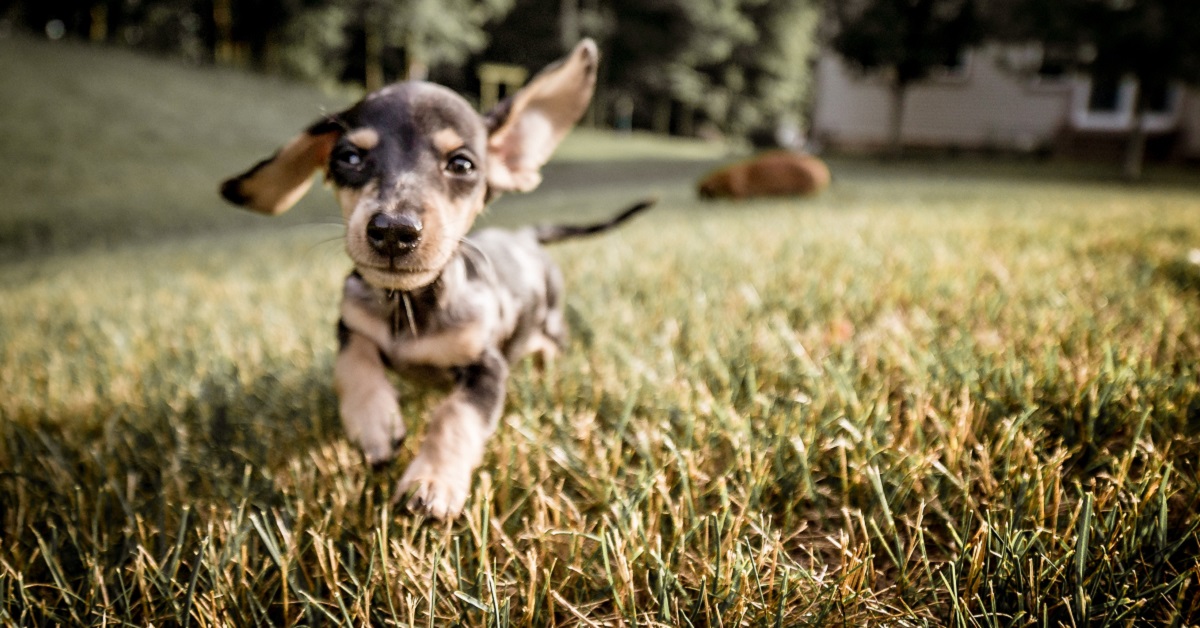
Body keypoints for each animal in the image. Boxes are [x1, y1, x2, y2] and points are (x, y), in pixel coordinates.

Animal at [220, 40, 652, 521]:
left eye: (461, 164)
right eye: (349, 157)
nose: (393, 230)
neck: (410, 305)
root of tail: (526, 234)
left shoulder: (487, 367)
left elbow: (455, 417)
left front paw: (431, 481)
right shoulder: (350, 324)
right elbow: (354, 363)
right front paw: (374, 421)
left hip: (551, 332)